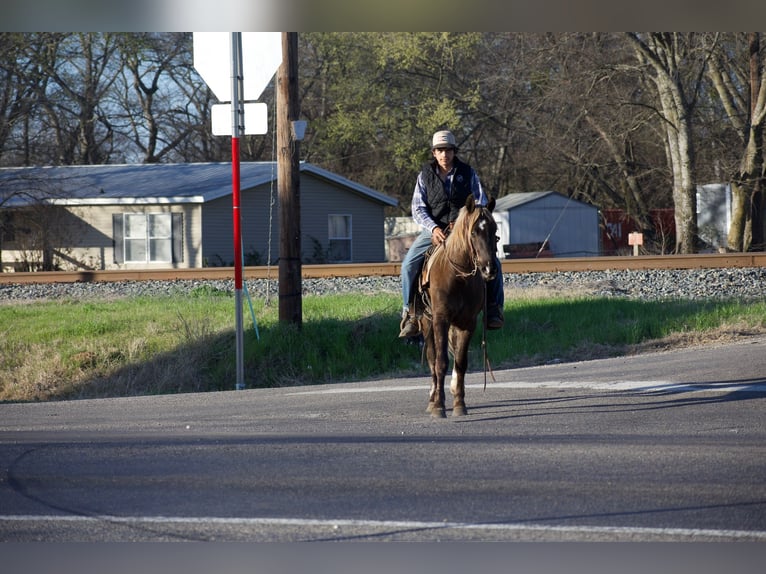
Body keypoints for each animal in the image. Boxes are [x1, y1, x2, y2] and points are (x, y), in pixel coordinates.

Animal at [416, 194, 498, 418]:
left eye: (494, 230)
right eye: (474, 231)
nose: (489, 268)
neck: (458, 276)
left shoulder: (467, 323)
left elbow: (461, 363)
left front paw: (459, 404)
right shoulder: (440, 320)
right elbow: (441, 362)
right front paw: (438, 406)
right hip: (427, 323)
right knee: (432, 359)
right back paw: (433, 399)